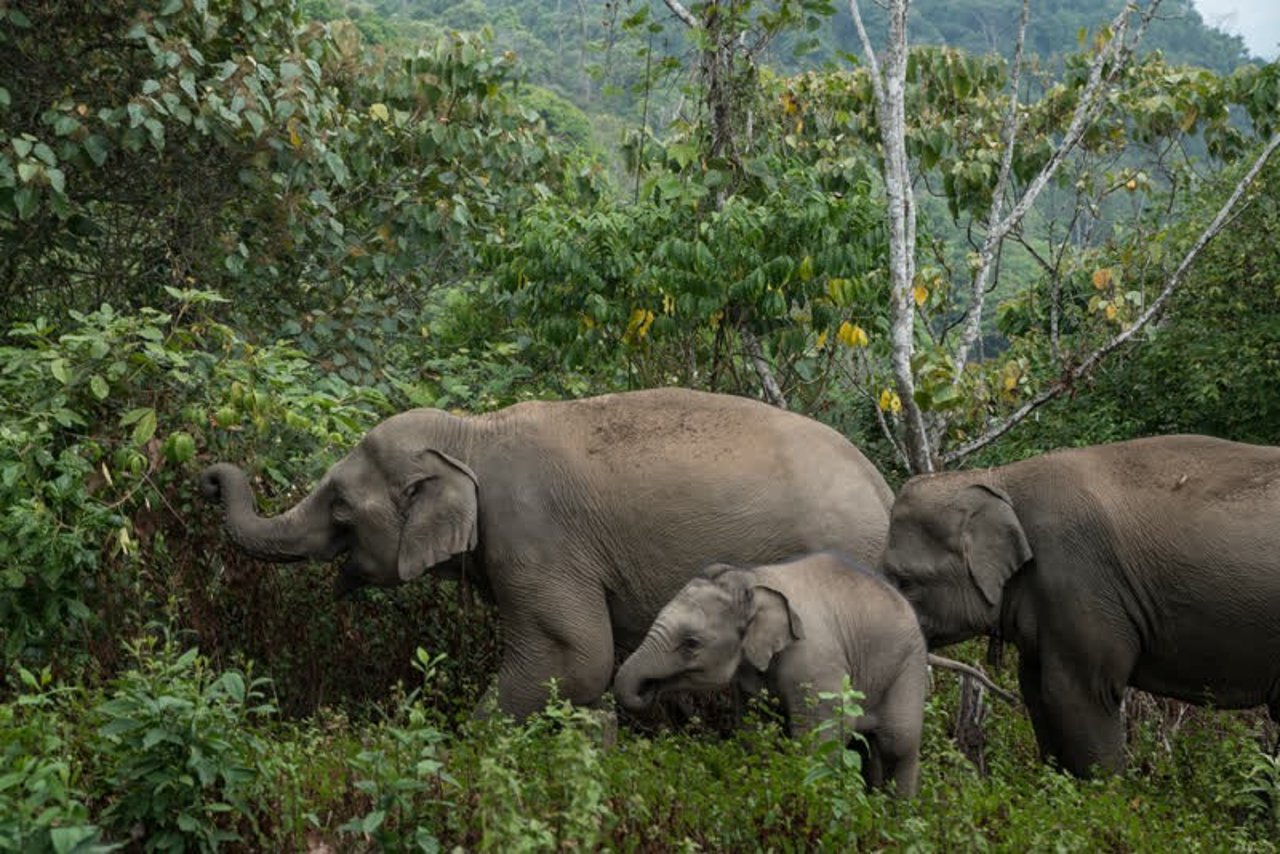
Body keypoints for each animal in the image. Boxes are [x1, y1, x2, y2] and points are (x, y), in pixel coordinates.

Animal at [204, 391, 896, 717]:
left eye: (342, 507)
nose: (208, 478)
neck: (471, 433)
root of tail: (884, 487)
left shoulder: (534, 537)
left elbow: (577, 658)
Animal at [611, 550, 926, 798]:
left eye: (691, 643)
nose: (648, 690)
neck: (753, 579)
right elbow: (753, 726)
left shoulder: (815, 660)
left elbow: (826, 727)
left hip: (908, 668)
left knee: (898, 743)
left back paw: (897, 815)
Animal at [880, 437, 1280, 778]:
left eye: (905, 582)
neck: (998, 478)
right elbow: (1035, 690)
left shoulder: (1078, 582)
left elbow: (1078, 694)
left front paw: (1108, 798)